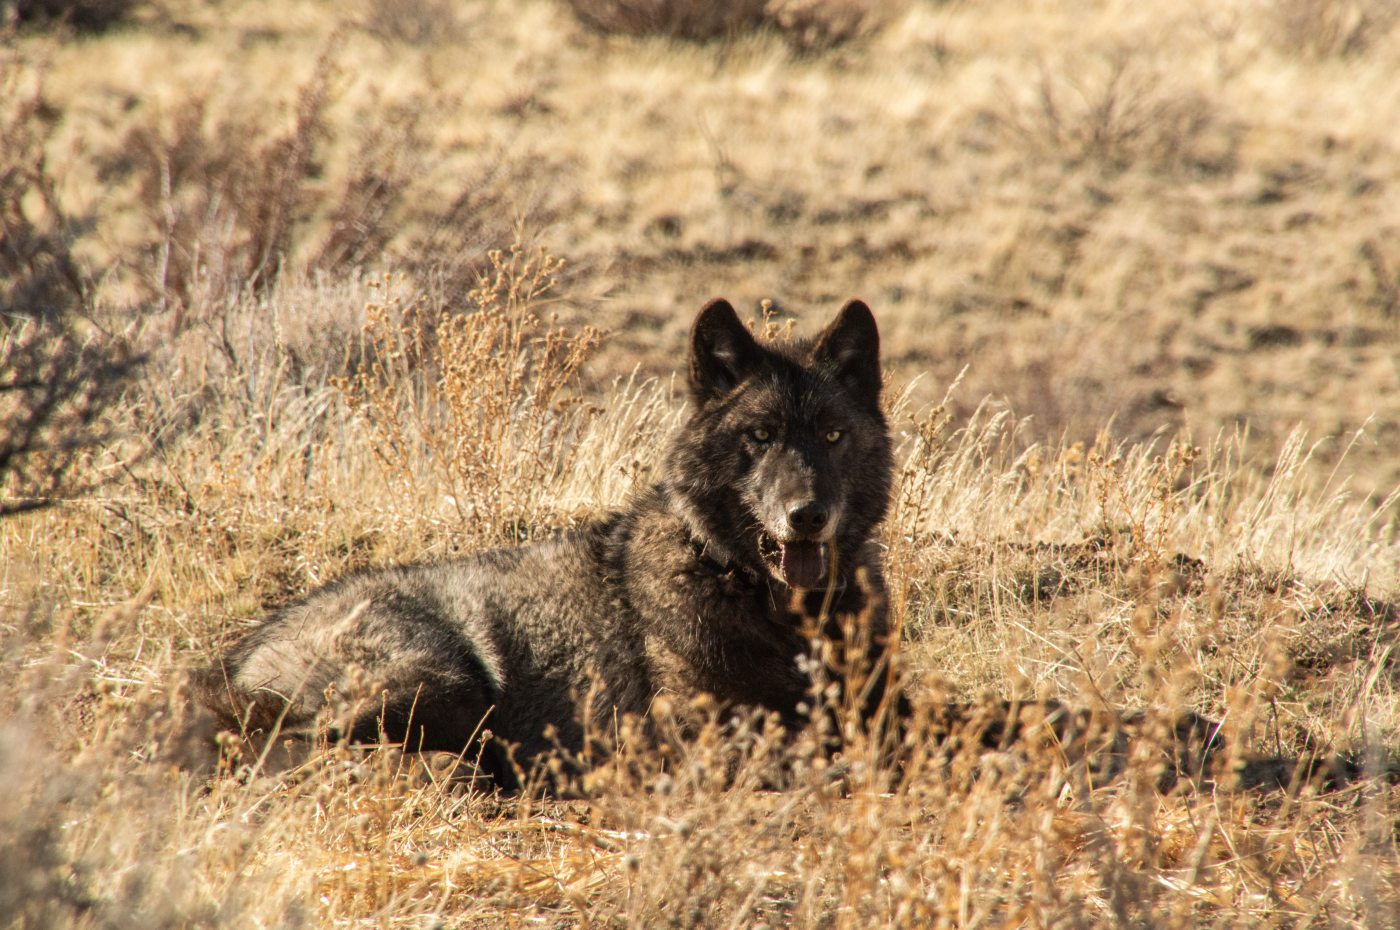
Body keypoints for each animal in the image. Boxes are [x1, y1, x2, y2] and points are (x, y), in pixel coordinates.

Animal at [195, 298, 904, 787]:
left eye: (833, 436)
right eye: (759, 436)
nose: (807, 515)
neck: (780, 613)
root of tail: (237, 657)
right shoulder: (691, 733)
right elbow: (811, 751)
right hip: (442, 679)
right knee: (298, 749)